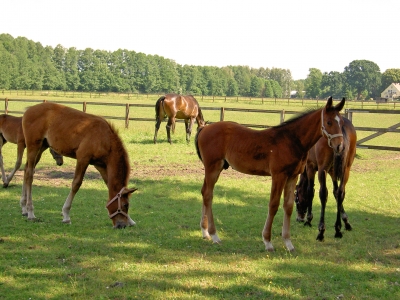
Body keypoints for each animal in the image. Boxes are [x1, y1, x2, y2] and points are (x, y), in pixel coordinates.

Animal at [195, 97, 346, 252]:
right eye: (329, 122)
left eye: (341, 122)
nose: (340, 146)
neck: (292, 140)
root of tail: (204, 128)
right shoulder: (279, 175)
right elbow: (273, 205)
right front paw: (267, 241)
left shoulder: (293, 176)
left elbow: (288, 206)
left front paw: (288, 243)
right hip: (213, 167)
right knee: (208, 195)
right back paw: (214, 235)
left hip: (214, 169)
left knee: (204, 192)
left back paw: (205, 232)